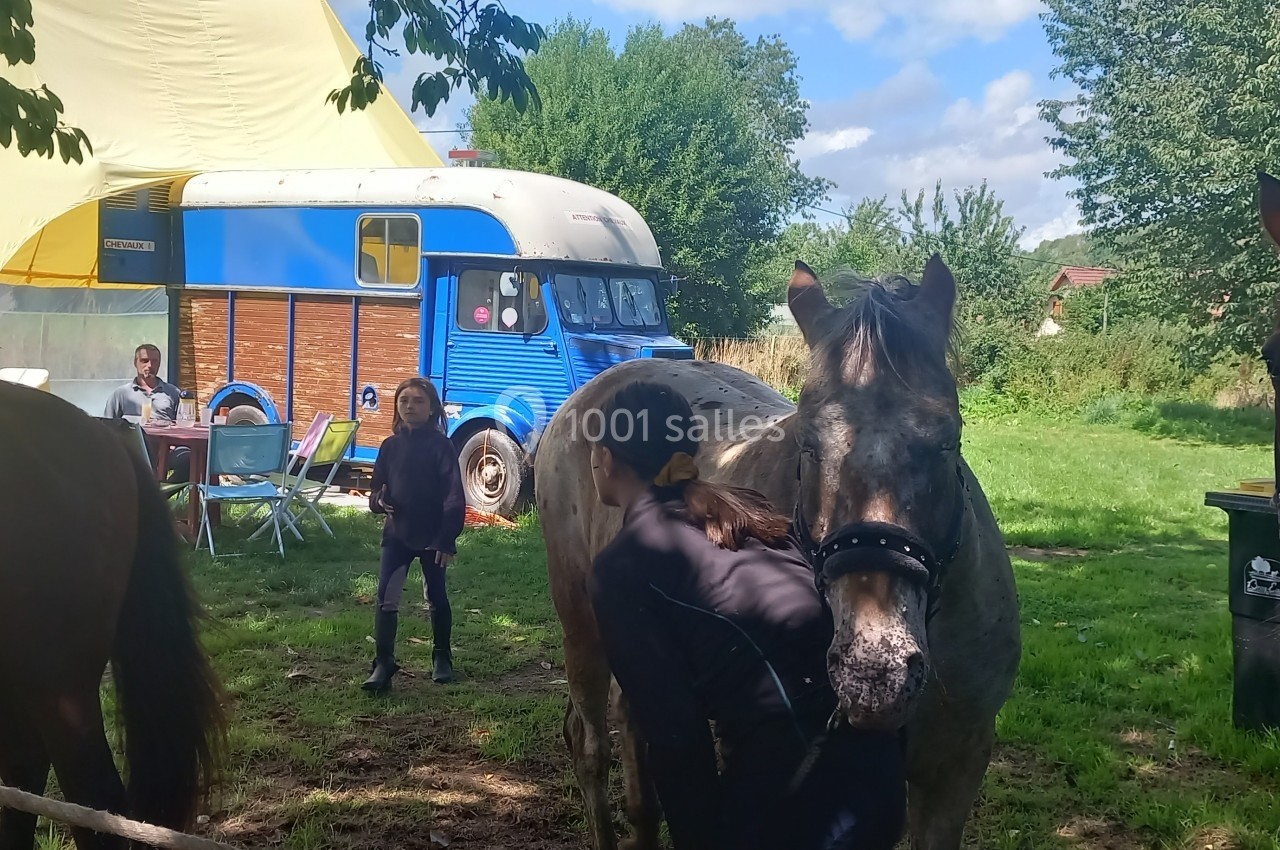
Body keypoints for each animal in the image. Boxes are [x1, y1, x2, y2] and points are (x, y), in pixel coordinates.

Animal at [534, 253, 1021, 850]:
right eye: (808, 445)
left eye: (948, 439)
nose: (875, 674)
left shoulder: (955, 767)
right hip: (582, 622)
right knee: (590, 746)